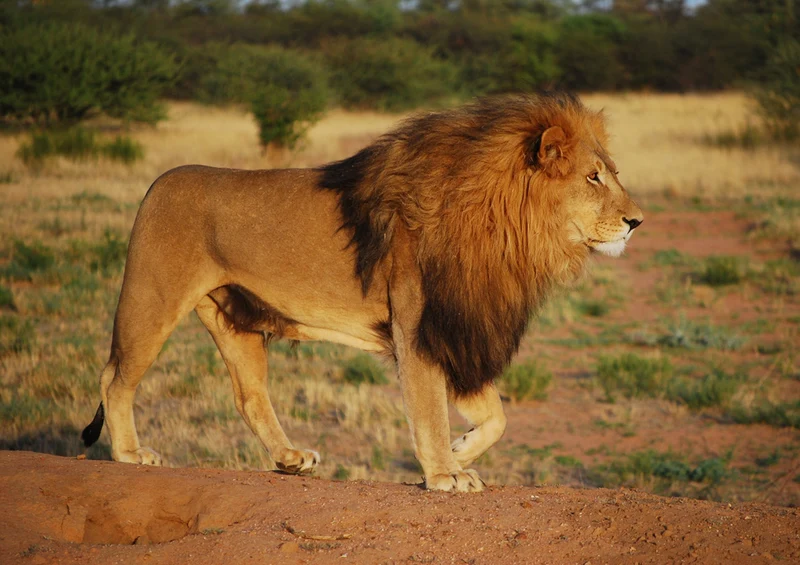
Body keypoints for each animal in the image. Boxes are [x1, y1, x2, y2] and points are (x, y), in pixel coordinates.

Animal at [81, 92, 642, 492]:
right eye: (593, 178)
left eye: (613, 174)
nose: (637, 221)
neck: (506, 228)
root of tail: (157, 182)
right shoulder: (419, 327)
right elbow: (429, 408)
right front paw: (444, 473)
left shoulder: (455, 328)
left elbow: (497, 415)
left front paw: (459, 451)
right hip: (151, 299)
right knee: (115, 377)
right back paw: (131, 454)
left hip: (234, 319)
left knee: (249, 396)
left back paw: (290, 459)